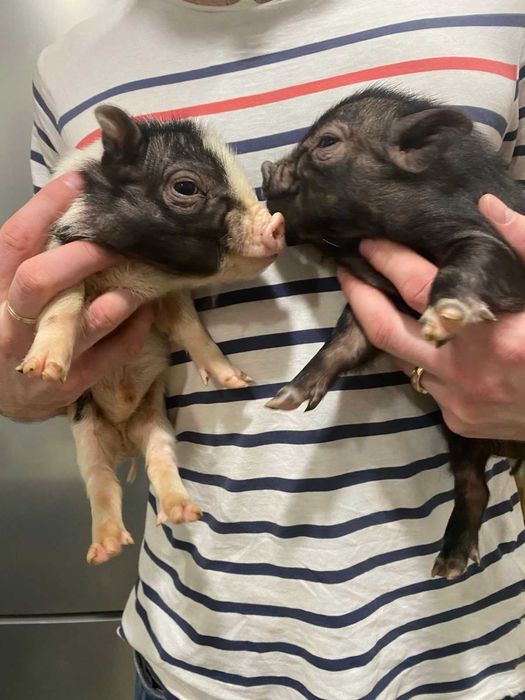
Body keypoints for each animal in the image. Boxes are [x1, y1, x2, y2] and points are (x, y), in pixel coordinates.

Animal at [18, 105, 285, 565]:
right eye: (186, 186)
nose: (278, 224)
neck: (139, 271)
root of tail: (126, 437)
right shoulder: (59, 251)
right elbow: (63, 305)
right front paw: (42, 371)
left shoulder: (166, 296)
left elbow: (190, 327)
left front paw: (237, 381)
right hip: (86, 434)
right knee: (99, 482)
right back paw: (104, 551)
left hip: (157, 423)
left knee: (160, 460)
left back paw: (183, 513)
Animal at [261, 85, 525, 579]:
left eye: (327, 142)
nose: (266, 169)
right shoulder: (372, 304)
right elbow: (344, 342)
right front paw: (282, 400)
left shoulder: (490, 238)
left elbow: (471, 259)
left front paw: (442, 321)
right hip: (461, 435)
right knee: (474, 485)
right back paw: (447, 567)